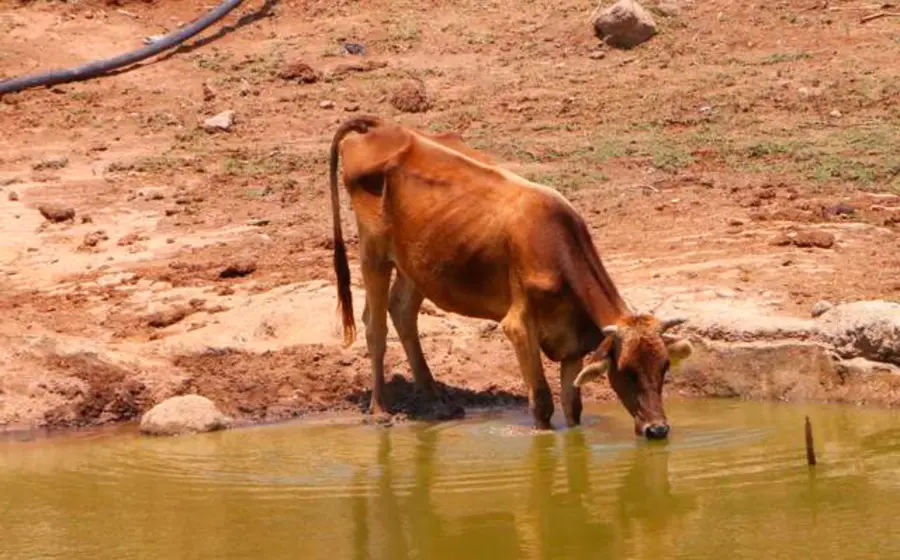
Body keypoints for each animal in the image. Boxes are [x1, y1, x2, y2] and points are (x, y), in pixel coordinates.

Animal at [328, 115, 693, 439]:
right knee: (375, 326)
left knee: (402, 312)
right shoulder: (518, 326)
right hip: (373, 252)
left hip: (418, 262)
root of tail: (381, 127)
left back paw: (436, 401)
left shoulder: (572, 344)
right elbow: (542, 402)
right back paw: (380, 410)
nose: (658, 429)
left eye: (664, 367)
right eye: (626, 371)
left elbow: (573, 408)